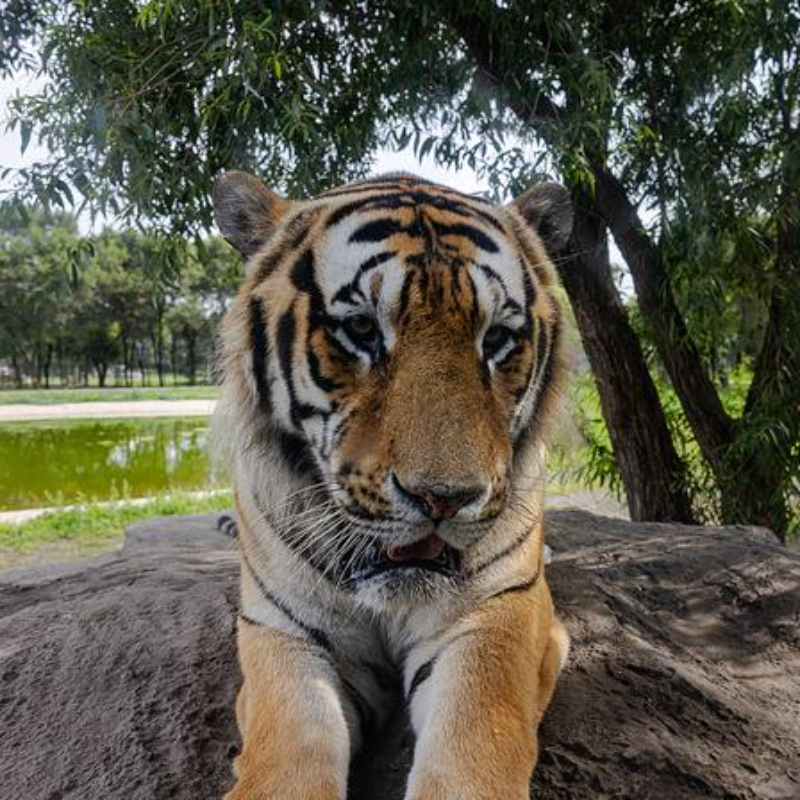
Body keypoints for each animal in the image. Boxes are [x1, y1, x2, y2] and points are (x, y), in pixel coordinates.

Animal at [212, 170, 572, 800]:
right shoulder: (282, 632)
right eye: (361, 330)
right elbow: (291, 744)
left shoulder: (500, 615)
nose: (444, 498)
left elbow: (472, 744)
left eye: (497, 339)